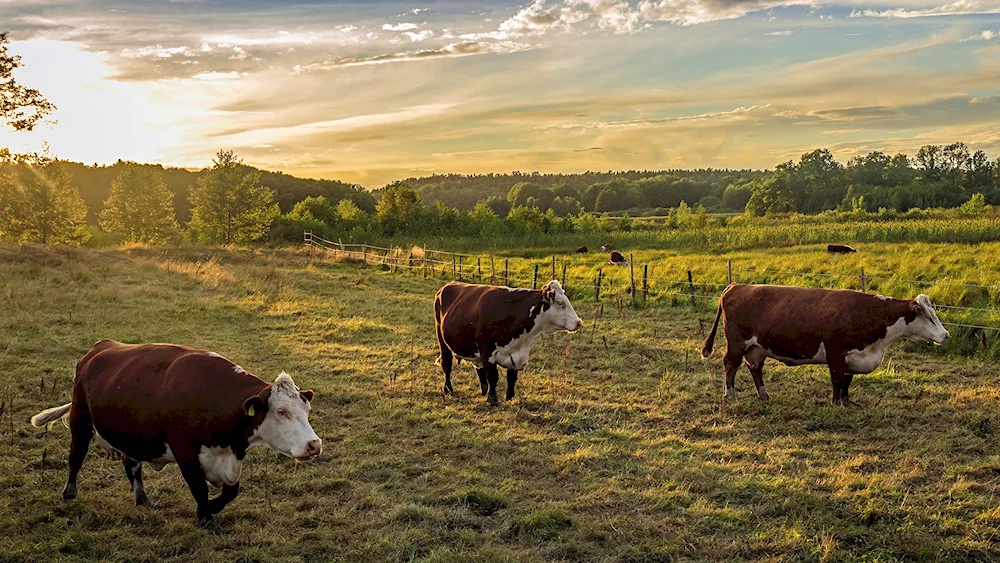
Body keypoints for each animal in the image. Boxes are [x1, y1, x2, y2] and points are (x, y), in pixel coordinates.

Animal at [31, 340, 322, 528]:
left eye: (306, 410)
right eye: (281, 411)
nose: (314, 445)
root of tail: (101, 347)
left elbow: (231, 491)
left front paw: (211, 510)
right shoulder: (186, 453)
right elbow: (199, 489)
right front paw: (205, 516)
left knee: (131, 465)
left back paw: (142, 500)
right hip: (80, 419)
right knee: (75, 457)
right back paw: (69, 494)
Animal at [700, 286, 948, 406]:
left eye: (934, 313)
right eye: (928, 316)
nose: (946, 334)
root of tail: (735, 286)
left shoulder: (852, 358)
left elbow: (847, 382)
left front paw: (847, 402)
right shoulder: (835, 353)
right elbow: (837, 381)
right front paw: (836, 404)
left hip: (757, 348)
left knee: (755, 368)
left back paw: (764, 395)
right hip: (736, 343)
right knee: (730, 365)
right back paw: (730, 395)